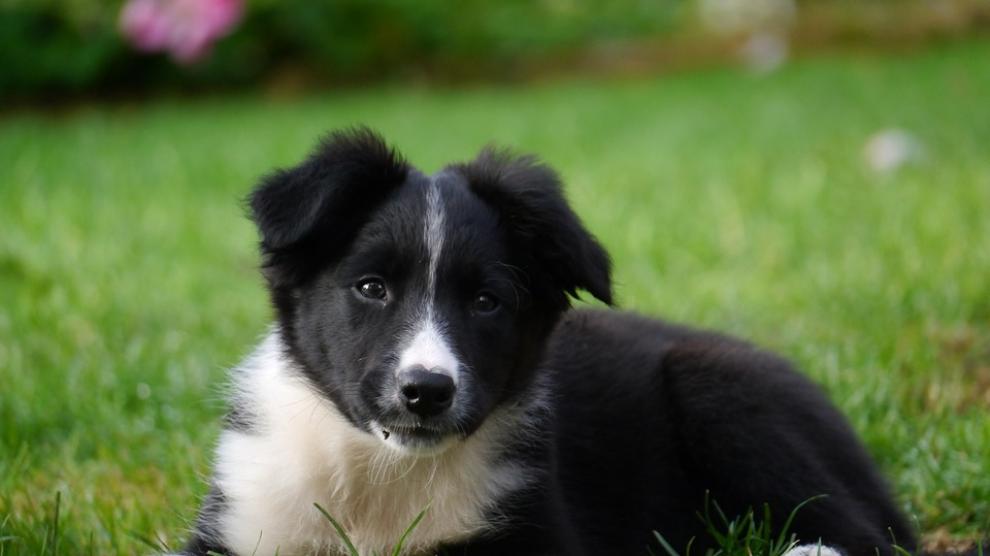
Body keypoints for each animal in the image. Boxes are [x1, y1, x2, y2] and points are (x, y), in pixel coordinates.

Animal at [182, 127, 920, 556]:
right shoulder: (244, 521)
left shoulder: (535, 532)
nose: (426, 392)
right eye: (371, 288)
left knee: (861, 533)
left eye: (486, 302)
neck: (382, 475)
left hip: (718, 390)